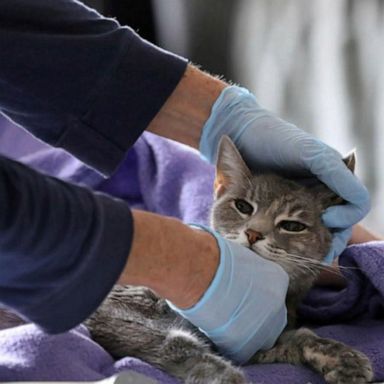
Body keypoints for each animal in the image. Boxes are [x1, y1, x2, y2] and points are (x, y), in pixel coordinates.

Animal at [83, 136, 372, 382]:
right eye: (243, 207)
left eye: (292, 225)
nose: (253, 233)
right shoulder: (119, 308)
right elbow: (174, 343)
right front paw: (224, 375)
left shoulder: (251, 343)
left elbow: (299, 337)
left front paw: (346, 359)